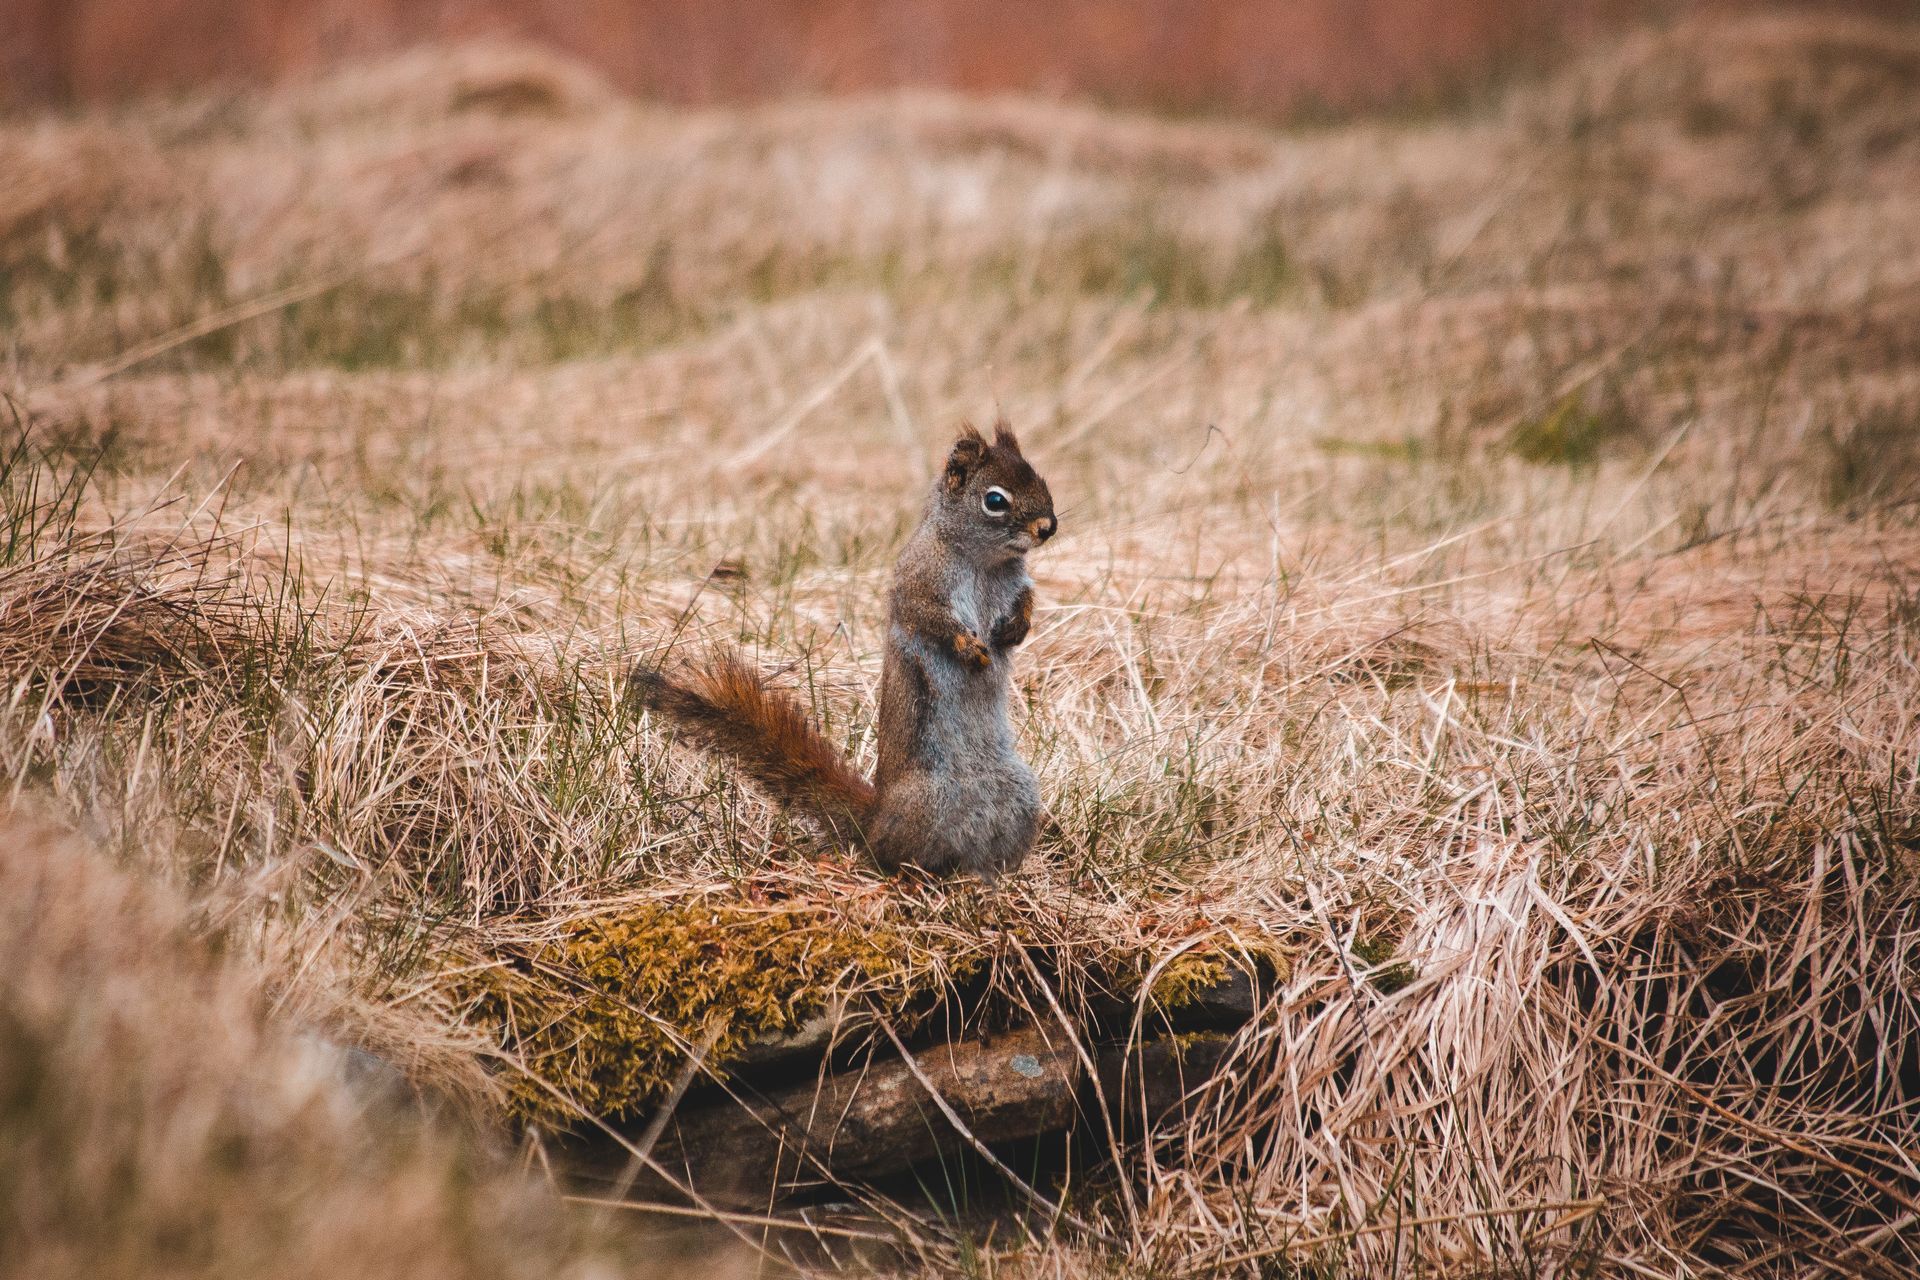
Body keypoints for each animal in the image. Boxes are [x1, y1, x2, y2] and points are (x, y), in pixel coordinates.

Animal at [631, 421, 1057, 878]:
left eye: (1040, 477)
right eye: (995, 500)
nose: (1048, 526)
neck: (985, 561)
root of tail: (874, 820)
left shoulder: (1015, 582)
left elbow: (1026, 599)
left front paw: (1017, 627)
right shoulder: (916, 584)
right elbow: (930, 619)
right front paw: (969, 647)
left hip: (1018, 796)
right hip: (928, 804)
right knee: (895, 858)